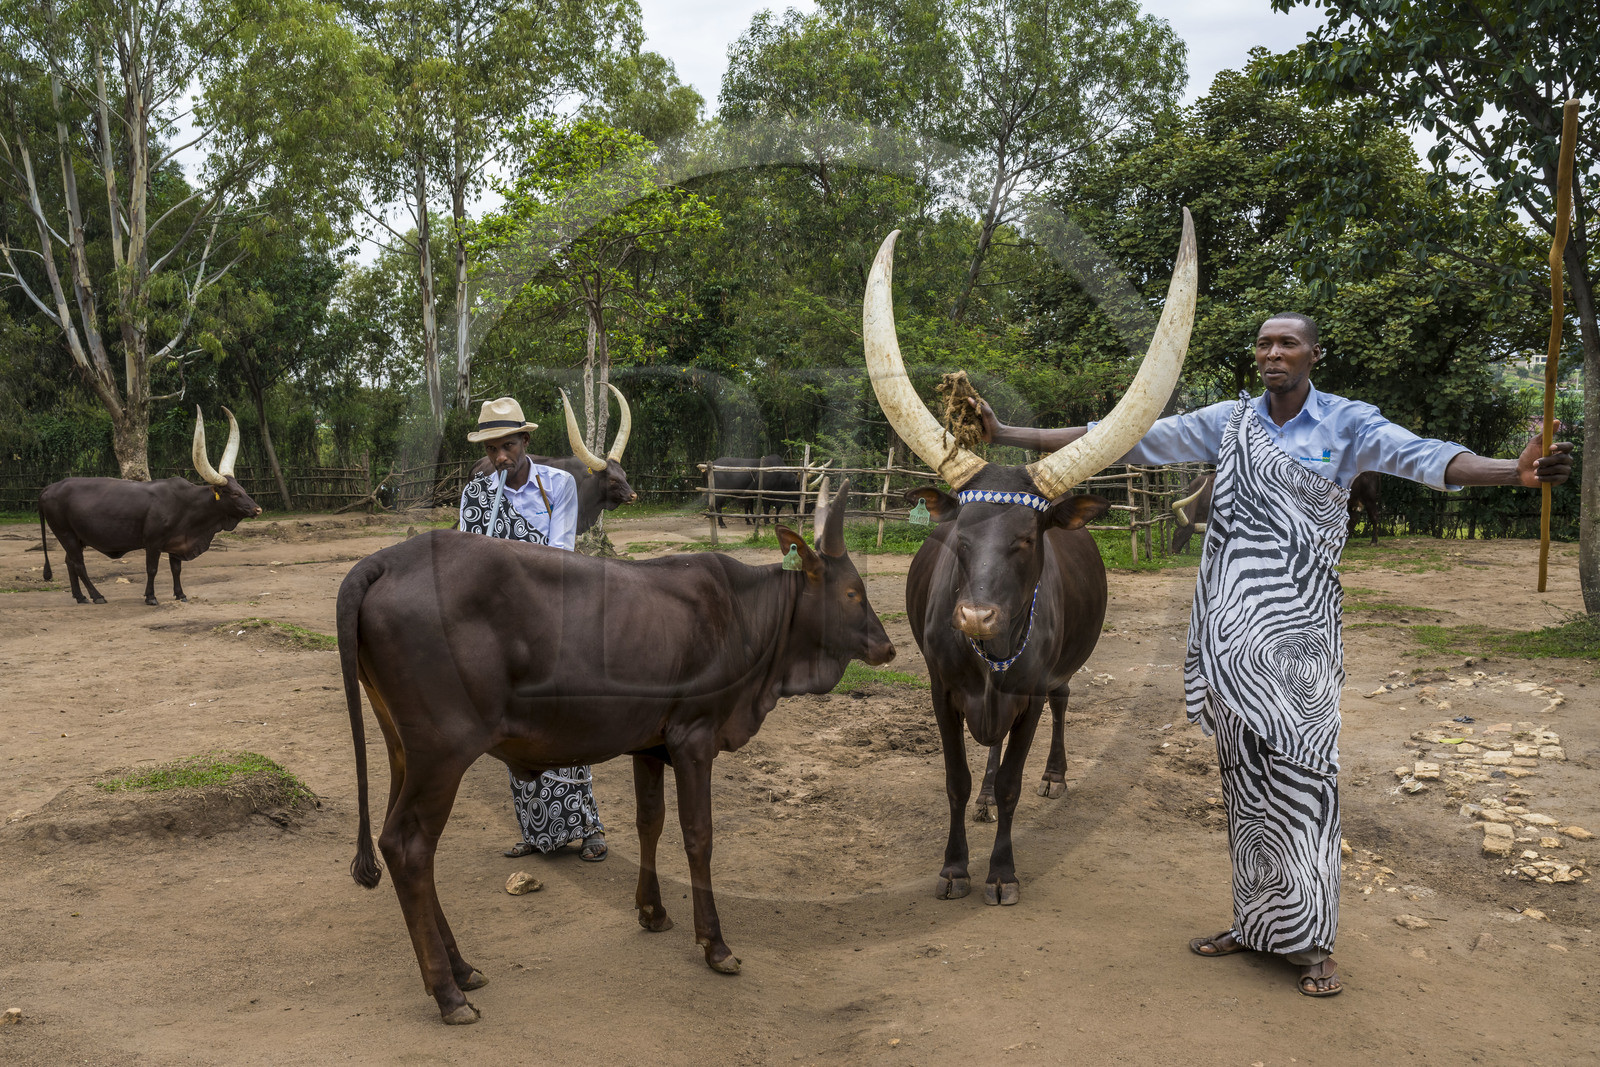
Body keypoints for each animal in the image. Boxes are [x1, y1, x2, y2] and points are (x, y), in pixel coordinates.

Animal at [37, 408, 263, 605]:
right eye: (234, 493)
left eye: (242, 489)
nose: (257, 509)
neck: (189, 506)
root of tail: (50, 487)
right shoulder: (153, 543)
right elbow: (152, 569)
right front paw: (150, 597)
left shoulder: (177, 542)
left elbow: (176, 569)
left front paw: (180, 594)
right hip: (65, 534)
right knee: (78, 564)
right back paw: (96, 596)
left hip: (76, 537)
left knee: (69, 563)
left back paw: (80, 597)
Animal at [337, 479, 893, 1024]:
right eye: (853, 592)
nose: (887, 647)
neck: (749, 619)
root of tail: (385, 560)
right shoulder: (694, 737)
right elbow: (699, 835)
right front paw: (714, 944)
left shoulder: (649, 743)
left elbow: (651, 823)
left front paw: (652, 911)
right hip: (444, 752)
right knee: (409, 847)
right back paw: (448, 993)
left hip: (404, 748)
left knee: (398, 841)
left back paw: (462, 969)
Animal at [862, 212, 1196, 906]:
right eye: (958, 538)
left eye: (1026, 539)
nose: (975, 618)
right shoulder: (940, 691)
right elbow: (957, 781)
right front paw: (955, 866)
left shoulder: (1031, 694)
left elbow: (1017, 780)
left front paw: (1002, 872)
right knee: (986, 763)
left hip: (1059, 676)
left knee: (1064, 705)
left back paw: (1056, 776)